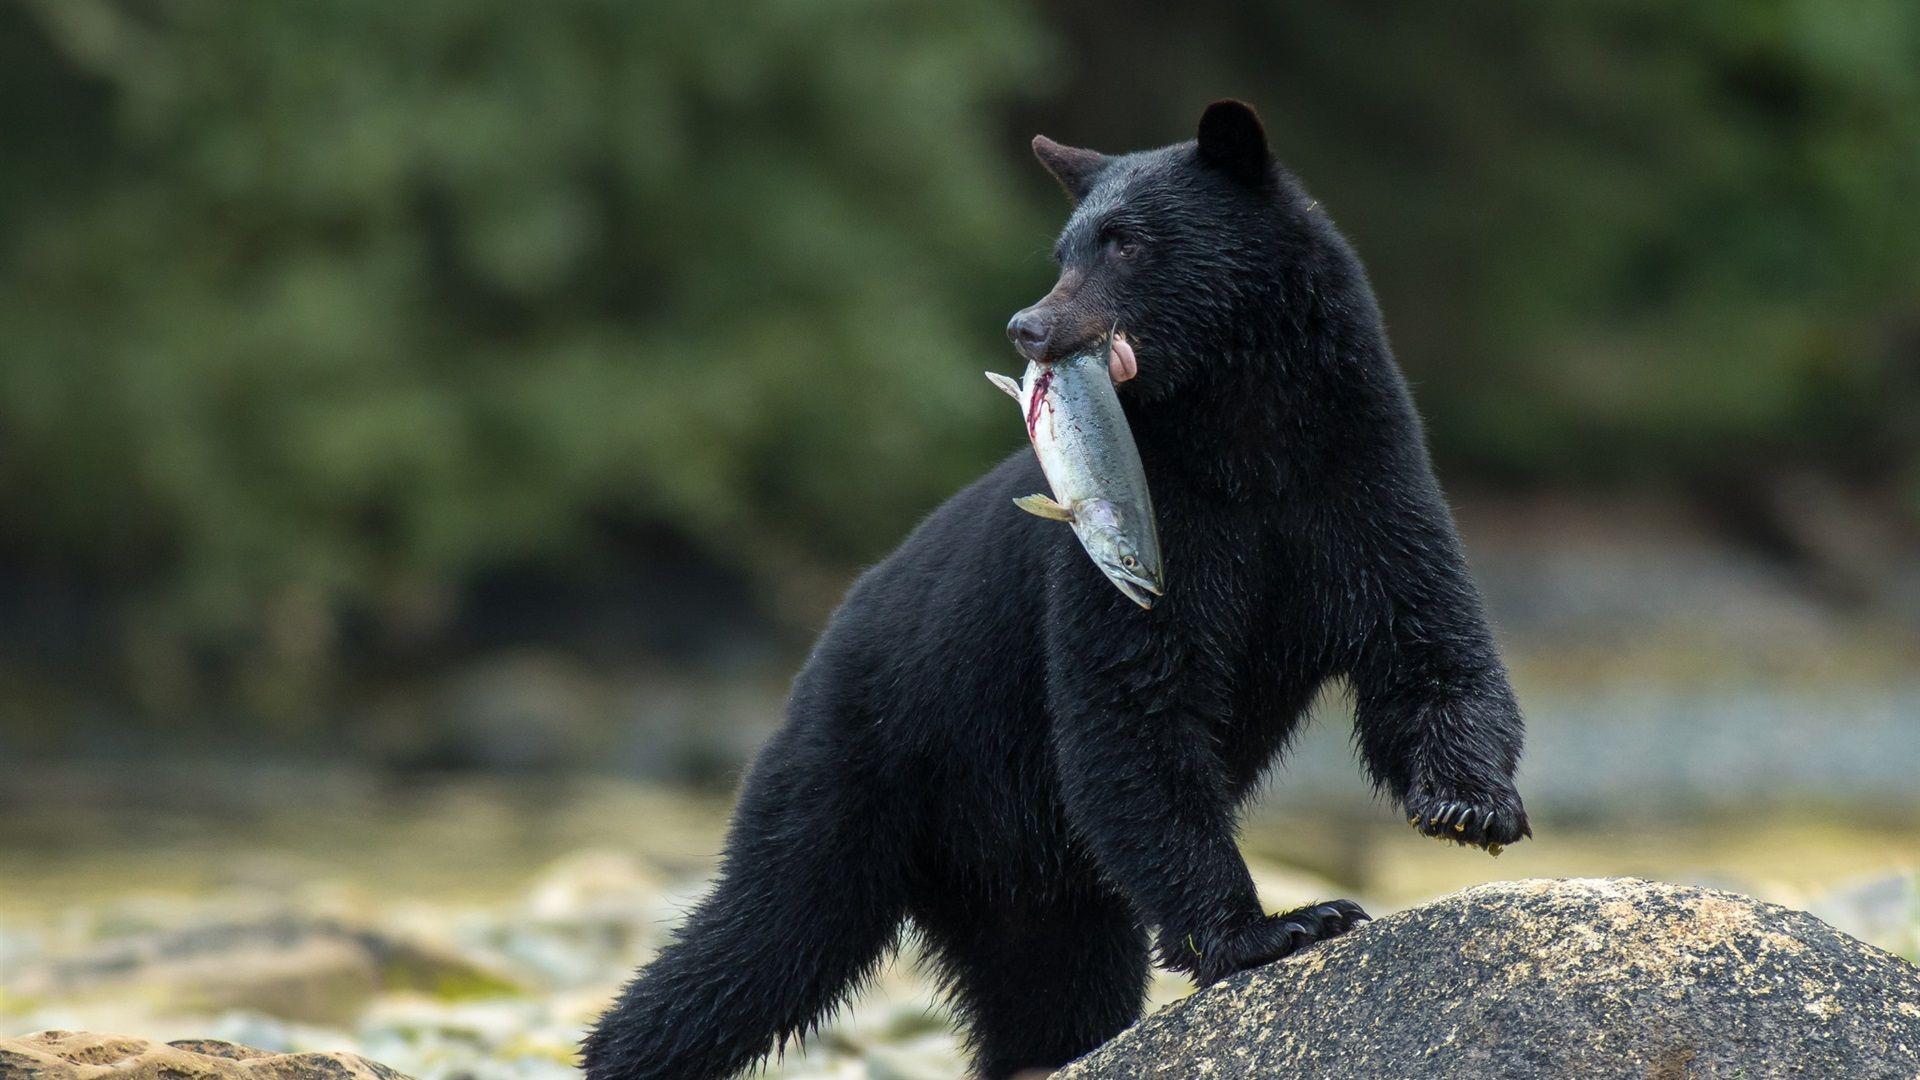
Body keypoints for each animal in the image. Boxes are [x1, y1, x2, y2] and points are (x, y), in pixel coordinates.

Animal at [582, 100, 1530, 1080]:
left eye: (1126, 242)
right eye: (1064, 249)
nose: (1028, 328)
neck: (1247, 437)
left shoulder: (1359, 479)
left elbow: (1425, 638)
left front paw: (1467, 803)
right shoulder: (1138, 539)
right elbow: (1133, 708)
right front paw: (1279, 926)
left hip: (1033, 881)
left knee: (1054, 992)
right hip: (855, 766)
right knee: (766, 931)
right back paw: (621, 1046)